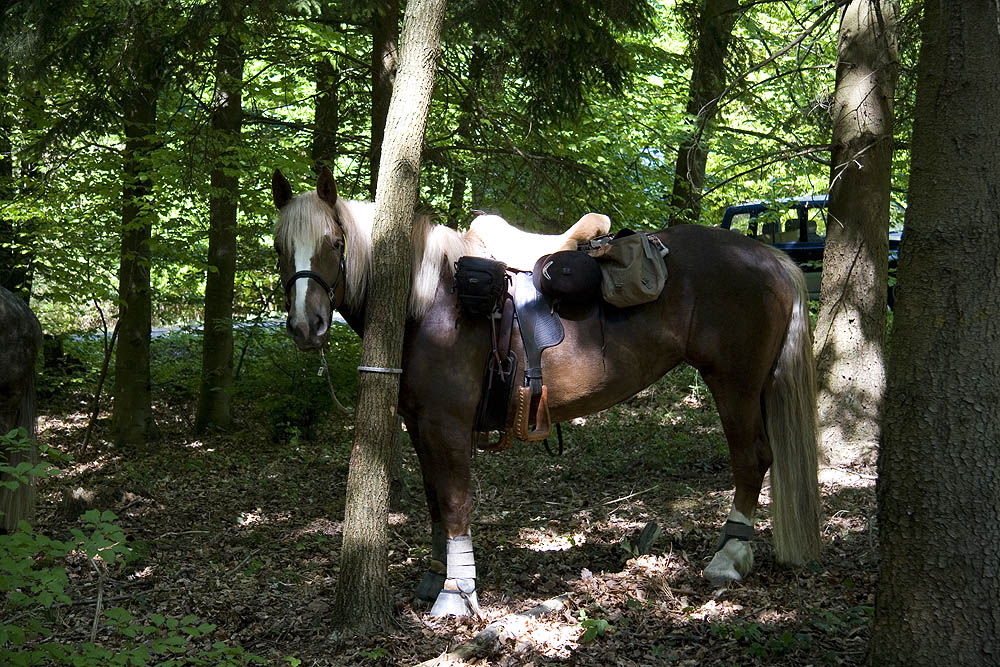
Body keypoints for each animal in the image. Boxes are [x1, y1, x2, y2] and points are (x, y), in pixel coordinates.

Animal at [272, 167, 820, 616]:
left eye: (335, 243)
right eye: (279, 247)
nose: (305, 326)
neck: (431, 301)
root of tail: (770, 255)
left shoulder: (446, 424)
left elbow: (454, 502)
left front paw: (457, 593)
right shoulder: (420, 424)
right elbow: (433, 501)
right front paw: (437, 576)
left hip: (735, 382)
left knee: (751, 458)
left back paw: (729, 557)